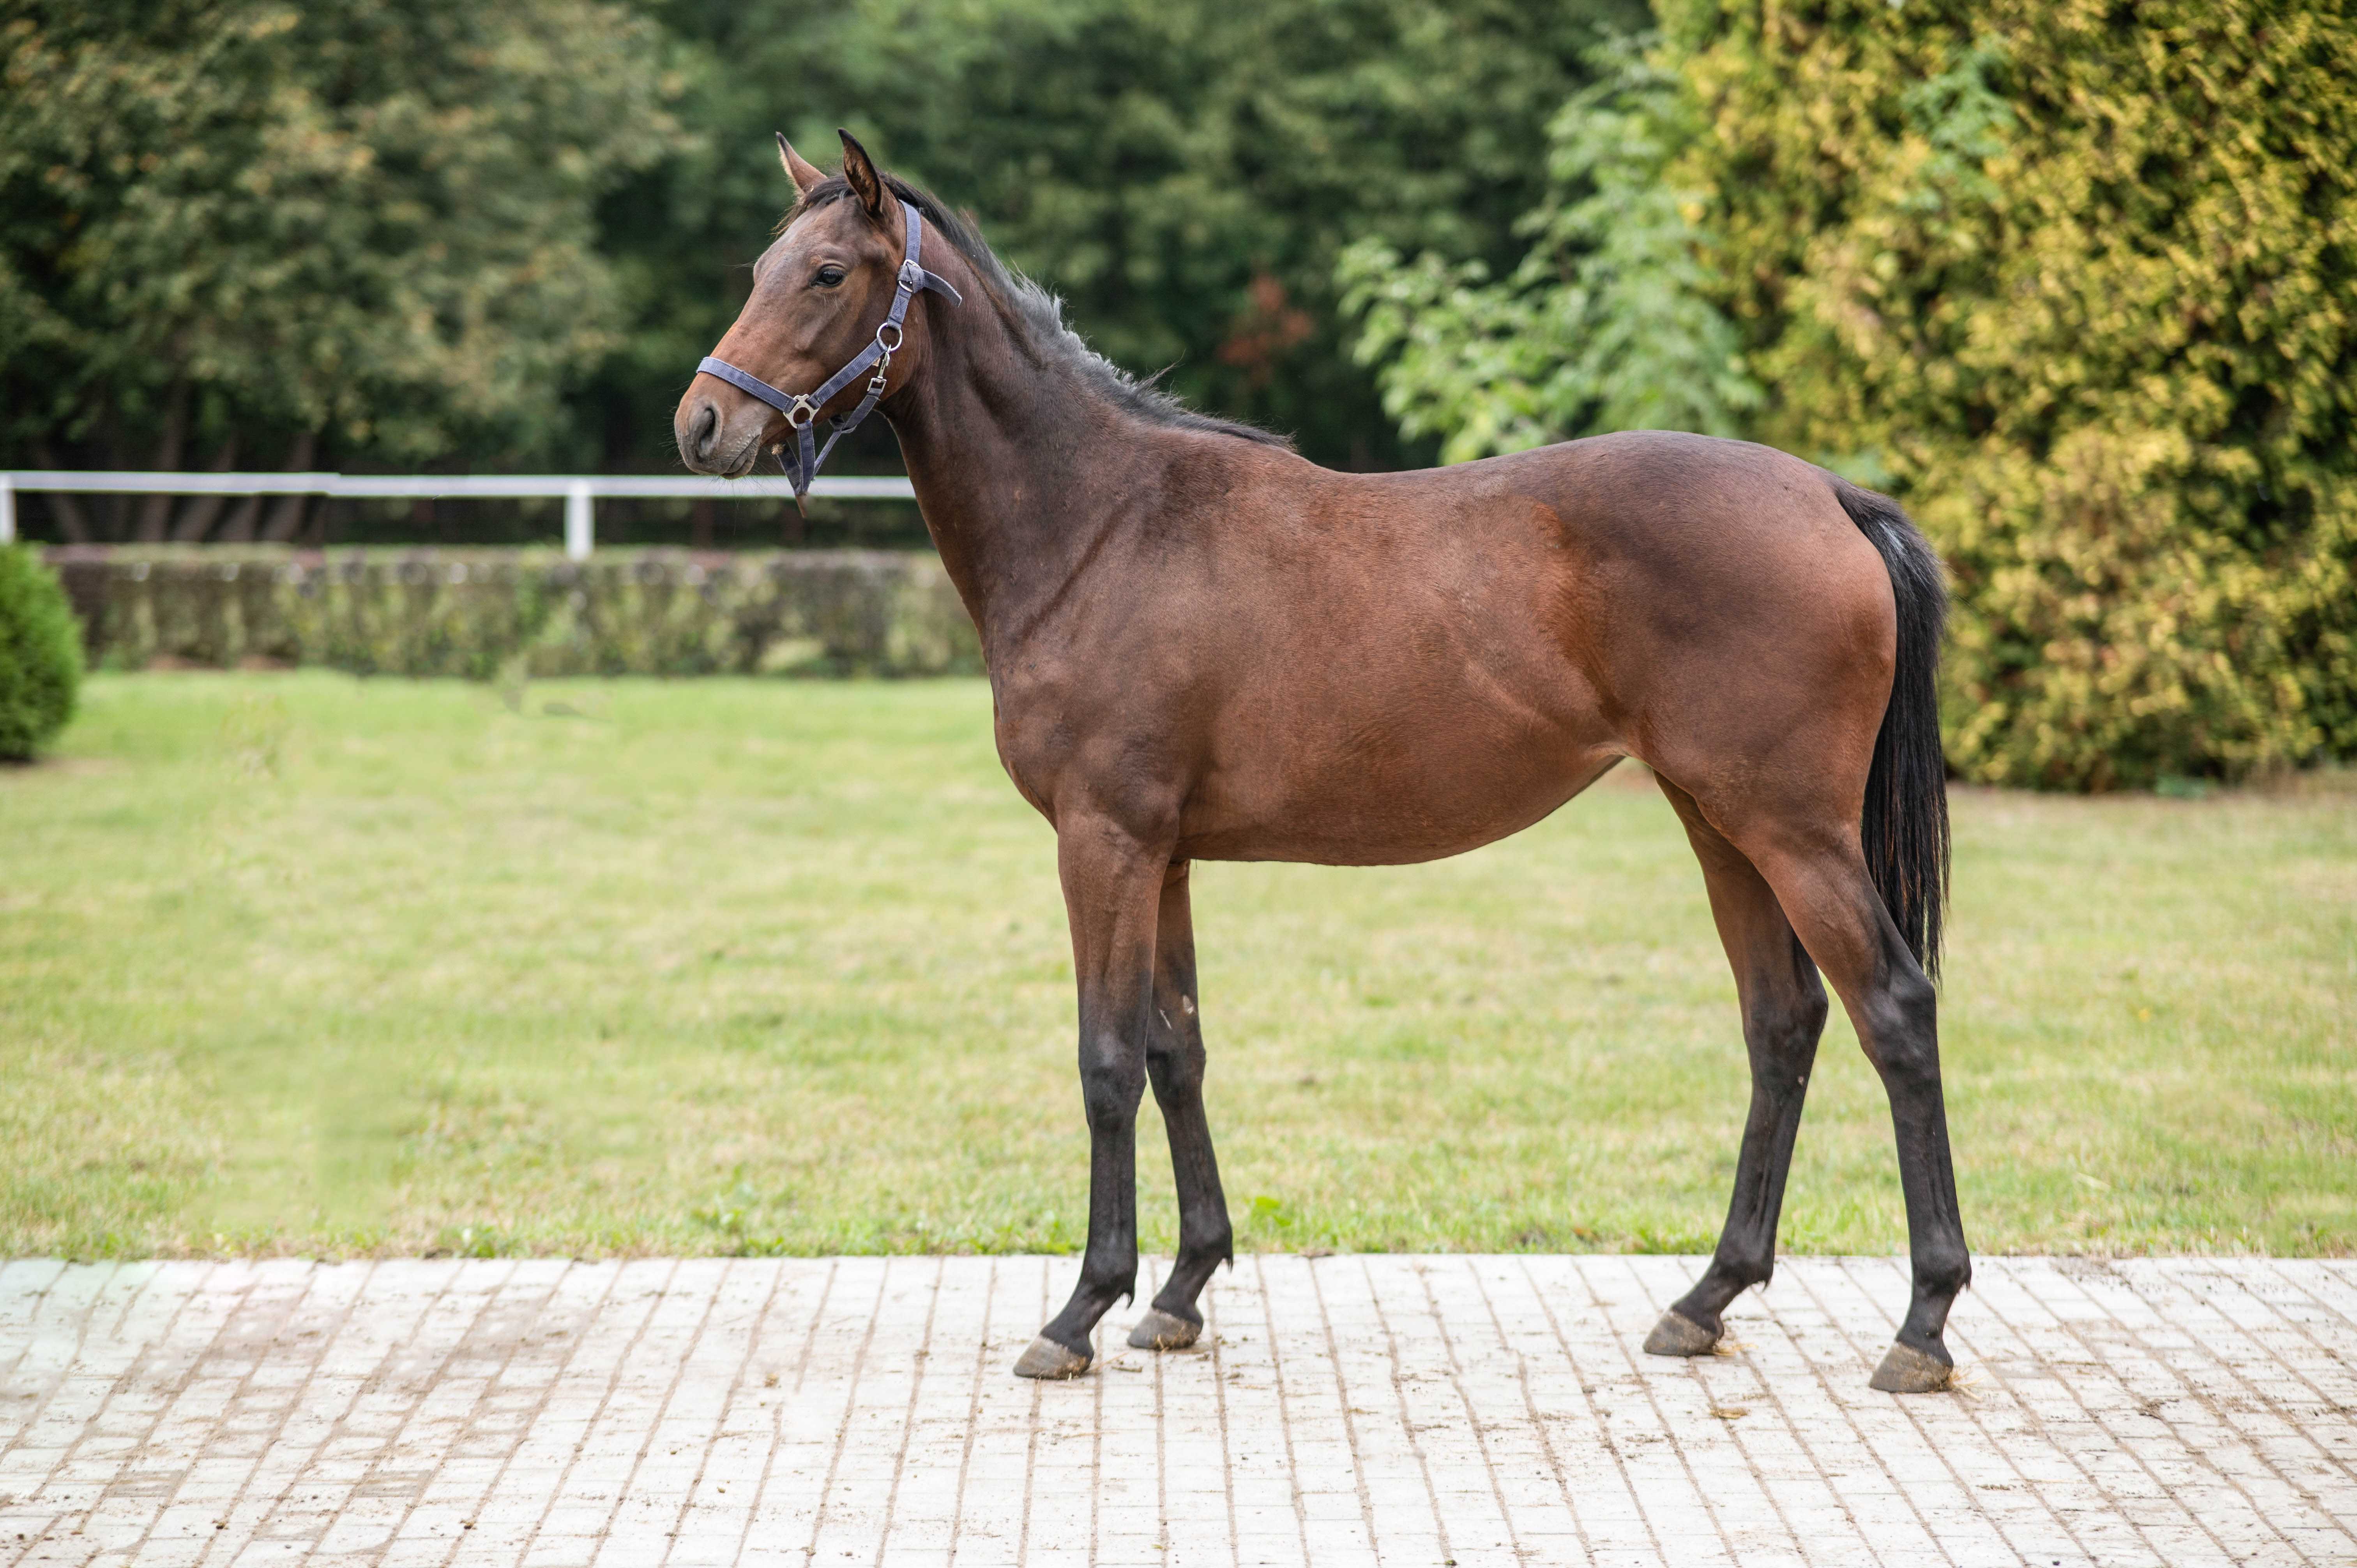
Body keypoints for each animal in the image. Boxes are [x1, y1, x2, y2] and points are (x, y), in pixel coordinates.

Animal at [674, 132, 1969, 1395]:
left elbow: (1106, 1061)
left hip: (1791, 832)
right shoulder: (1166, 856)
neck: (1101, 523)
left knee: (1894, 1013)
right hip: (1720, 824)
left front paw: (1084, 1309)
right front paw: (1181, 1292)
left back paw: (1923, 1321)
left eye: (827, 275)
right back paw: (1707, 1299)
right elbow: (1176, 1050)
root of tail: (1832, 496)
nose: (701, 426)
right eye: (759, 269)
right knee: (1783, 1025)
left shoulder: (1104, 842)